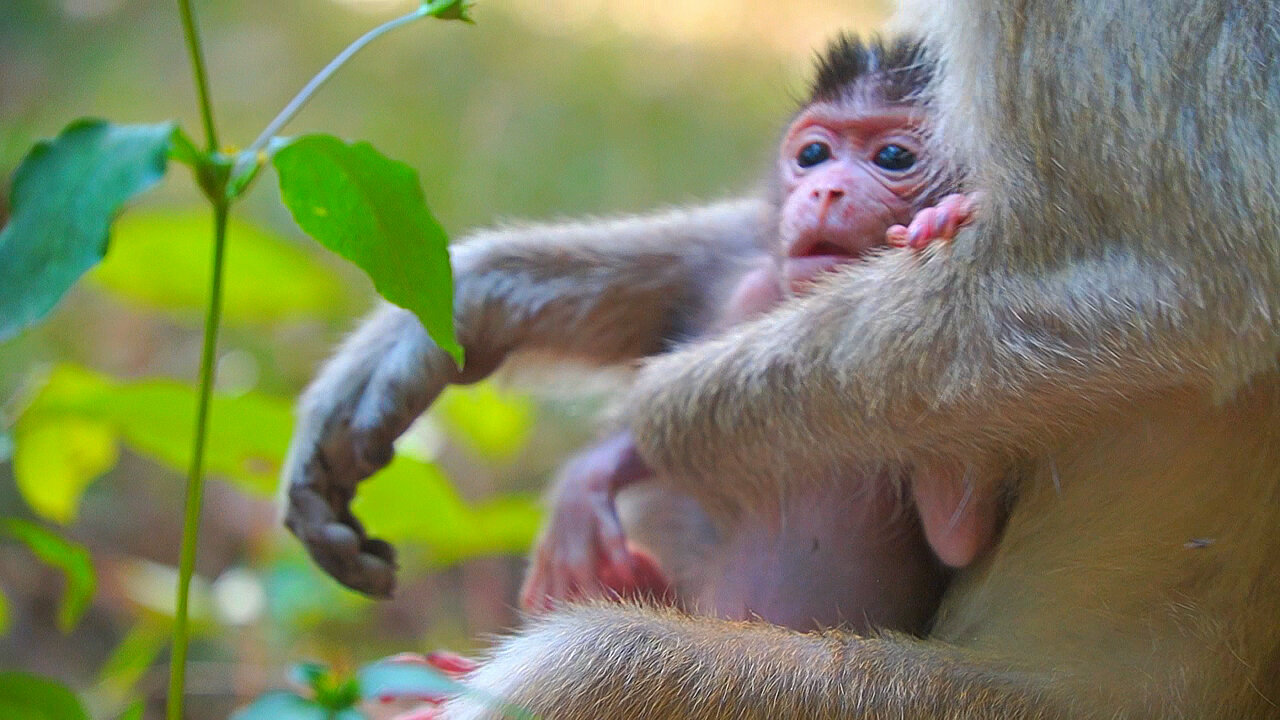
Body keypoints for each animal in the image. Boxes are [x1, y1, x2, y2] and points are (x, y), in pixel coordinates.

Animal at [524, 35, 972, 627]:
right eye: (813, 156)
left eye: (894, 158)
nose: (825, 191)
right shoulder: (751, 294)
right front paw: (595, 473)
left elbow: (957, 537)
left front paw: (942, 218)